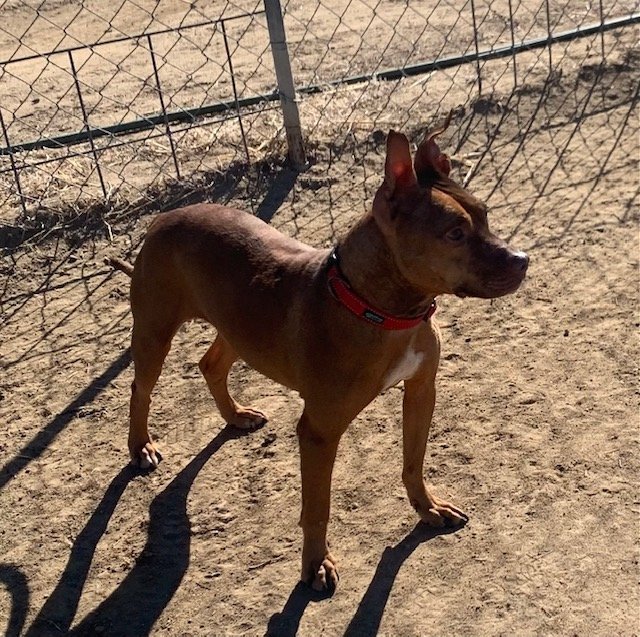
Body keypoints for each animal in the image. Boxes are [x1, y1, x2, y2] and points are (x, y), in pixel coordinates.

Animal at [110, 118, 528, 592]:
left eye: (485, 215)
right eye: (455, 233)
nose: (523, 260)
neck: (382, 311)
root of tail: (164, 217)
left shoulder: (422, 391)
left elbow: (413, 462)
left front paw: (428, 508)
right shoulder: (319, 432)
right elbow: (317, 508)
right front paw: (315, 564)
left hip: (238, 326)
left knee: (210, 364)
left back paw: (235, 415)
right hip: (155, 333)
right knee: (140, 389)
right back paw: (140, 447)